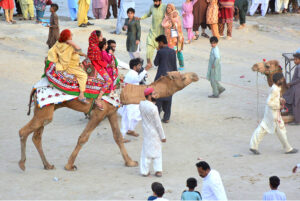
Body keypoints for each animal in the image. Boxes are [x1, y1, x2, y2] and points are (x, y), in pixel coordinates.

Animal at [19, 71, 200, 170]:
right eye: (182, 77)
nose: (195, 75)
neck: (123, 91)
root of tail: (35, 88)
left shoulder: (110, 112)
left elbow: (118, 137)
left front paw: (130, 162)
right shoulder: (99, 113)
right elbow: (83, 137)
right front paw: (69, 166)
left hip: (45, 109)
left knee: (36, 136)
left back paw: (47, 165)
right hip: (45, 111)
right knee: (23, 131)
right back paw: (22, 164)